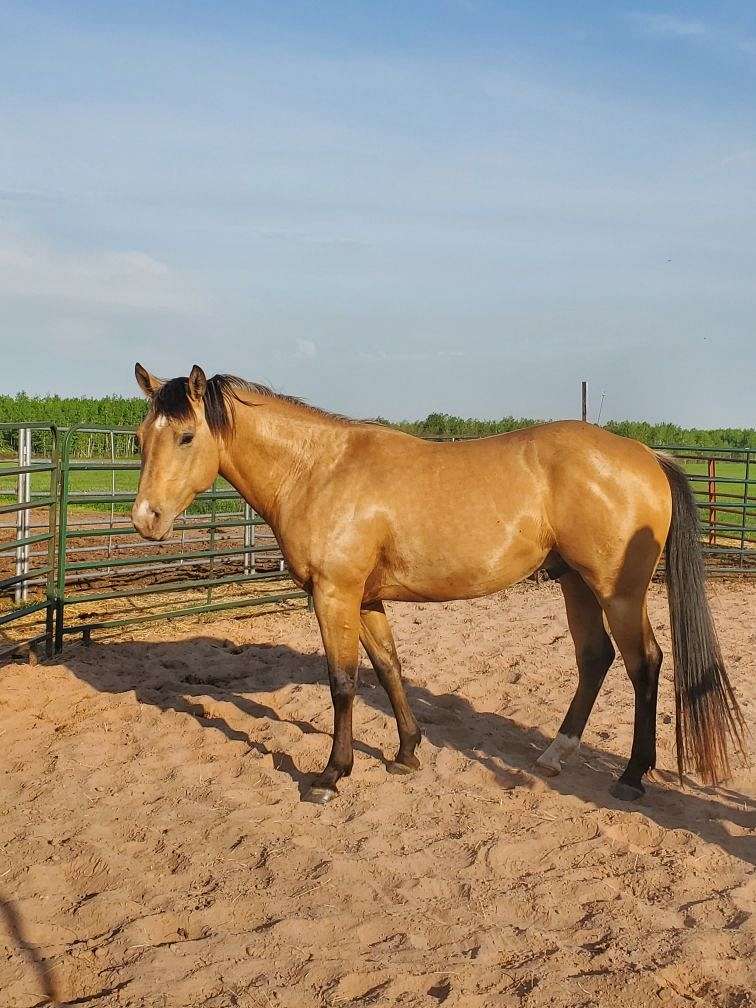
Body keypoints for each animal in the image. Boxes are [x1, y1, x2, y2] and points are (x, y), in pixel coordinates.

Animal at [131, 364, 746, 805]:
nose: (145, 519)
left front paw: (332, 774)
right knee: (595, 659)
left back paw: (632, 776)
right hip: (575, 583)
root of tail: (646, 454)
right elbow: (388, 668)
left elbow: (342, 683)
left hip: (618, 591)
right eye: (140, 438)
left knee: (645, 664)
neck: (319, 471)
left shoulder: (334, 595)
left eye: (186, 436)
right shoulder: (367, 599)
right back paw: (556, 754)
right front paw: (407, 751)